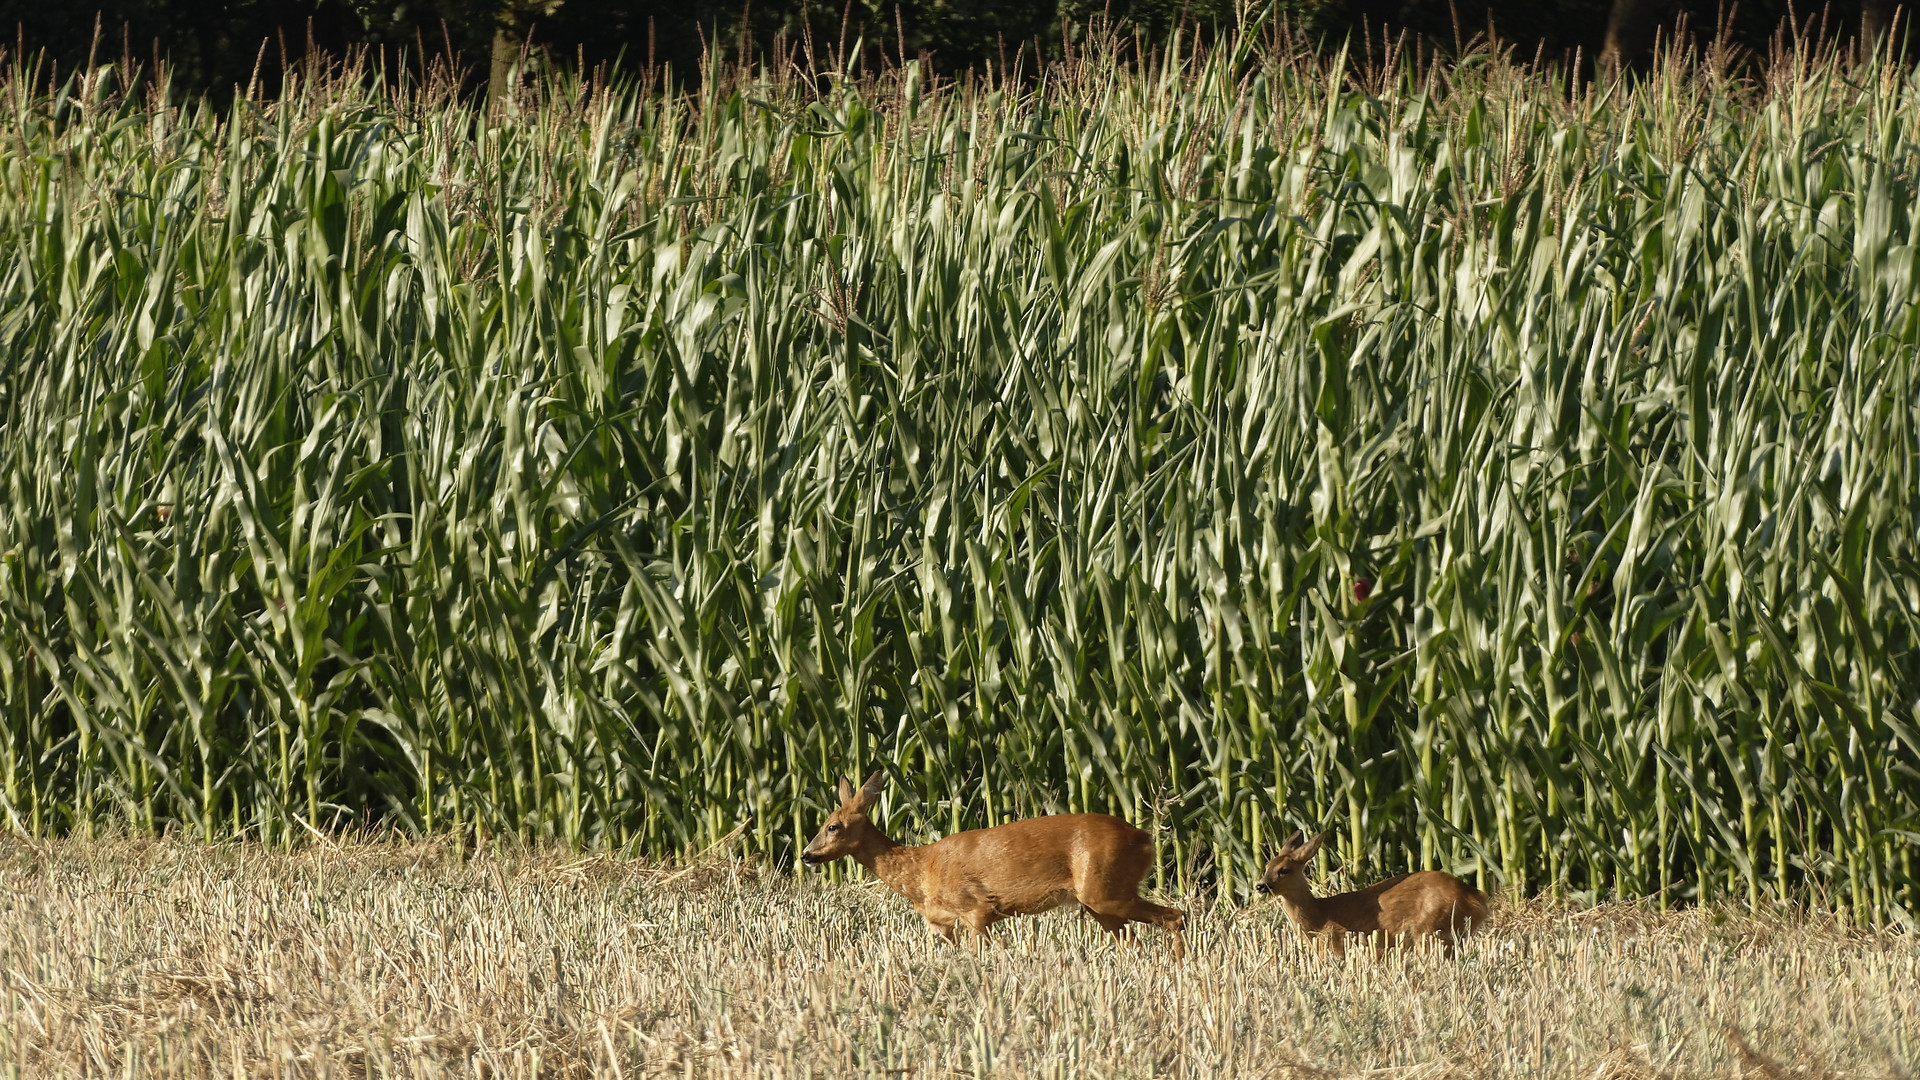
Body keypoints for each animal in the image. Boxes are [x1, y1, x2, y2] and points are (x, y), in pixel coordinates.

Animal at [794, 768, 1182, 953]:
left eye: (832, 826)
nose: (806, 854)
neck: (921, 871)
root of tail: (1145, 839)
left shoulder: (976, 908)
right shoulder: (943, 924)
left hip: (1105, 889)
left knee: (1175, 916)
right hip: (1101, 902)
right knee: (1134, 940)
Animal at [1259, 826, 1482, 953]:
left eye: (1284, 870)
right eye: (1266, 866)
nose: (1260, 885)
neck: (1318, 917)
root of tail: (1477, 898)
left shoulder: (1340, 943)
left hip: (1432, 929)